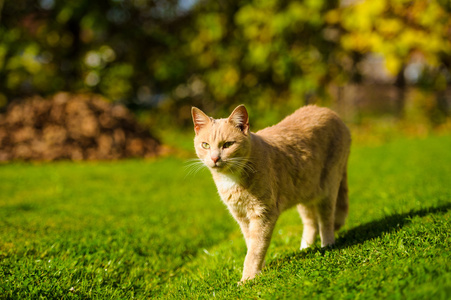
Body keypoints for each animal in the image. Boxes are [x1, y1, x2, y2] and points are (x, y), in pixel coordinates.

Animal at [192, 103, 352, 282]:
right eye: (205, 145)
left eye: (227, 144)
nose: (214, 158)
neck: (232, 178)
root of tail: (327, 110)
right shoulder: (242, 217)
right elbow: (250, 243)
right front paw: (259, 269)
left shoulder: (263, 213)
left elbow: (255, 248)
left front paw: (248, 278)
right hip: (305, 189)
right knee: (310, 222)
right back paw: (306, 248)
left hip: (328, 186)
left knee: (326, 220)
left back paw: (327, 245)